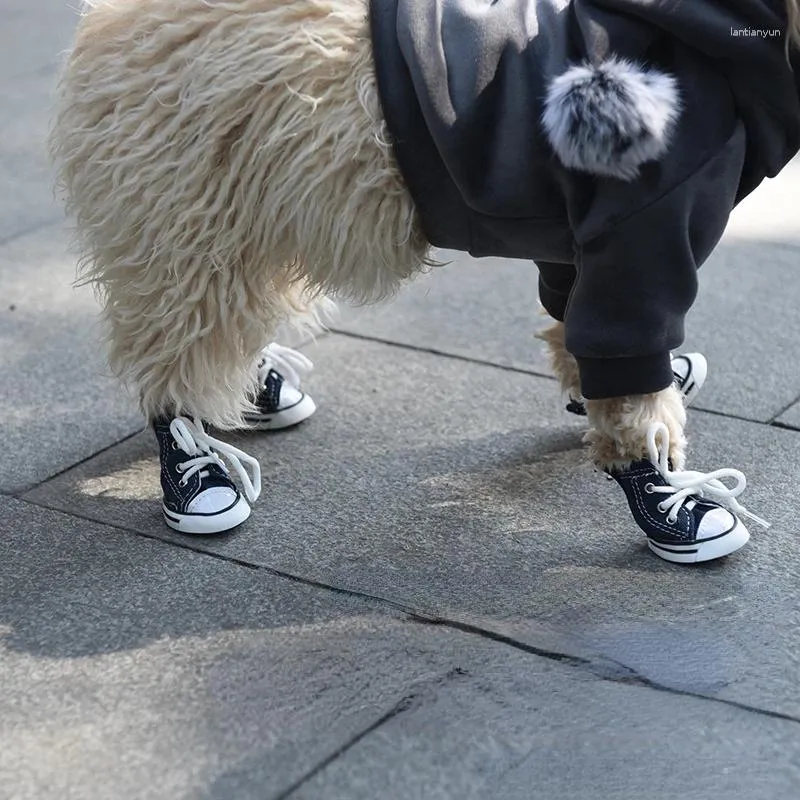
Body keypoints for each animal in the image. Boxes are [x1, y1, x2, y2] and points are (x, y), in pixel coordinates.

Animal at [51, 0, 792, 560]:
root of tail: (109, 21)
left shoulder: (581, 236)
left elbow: (571, 318)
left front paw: (596, 388)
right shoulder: (637, 231)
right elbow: (631, 375)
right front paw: (665, 490)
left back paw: (256, 386)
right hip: (183, 218)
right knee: (173, 345)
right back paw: (194, 460)